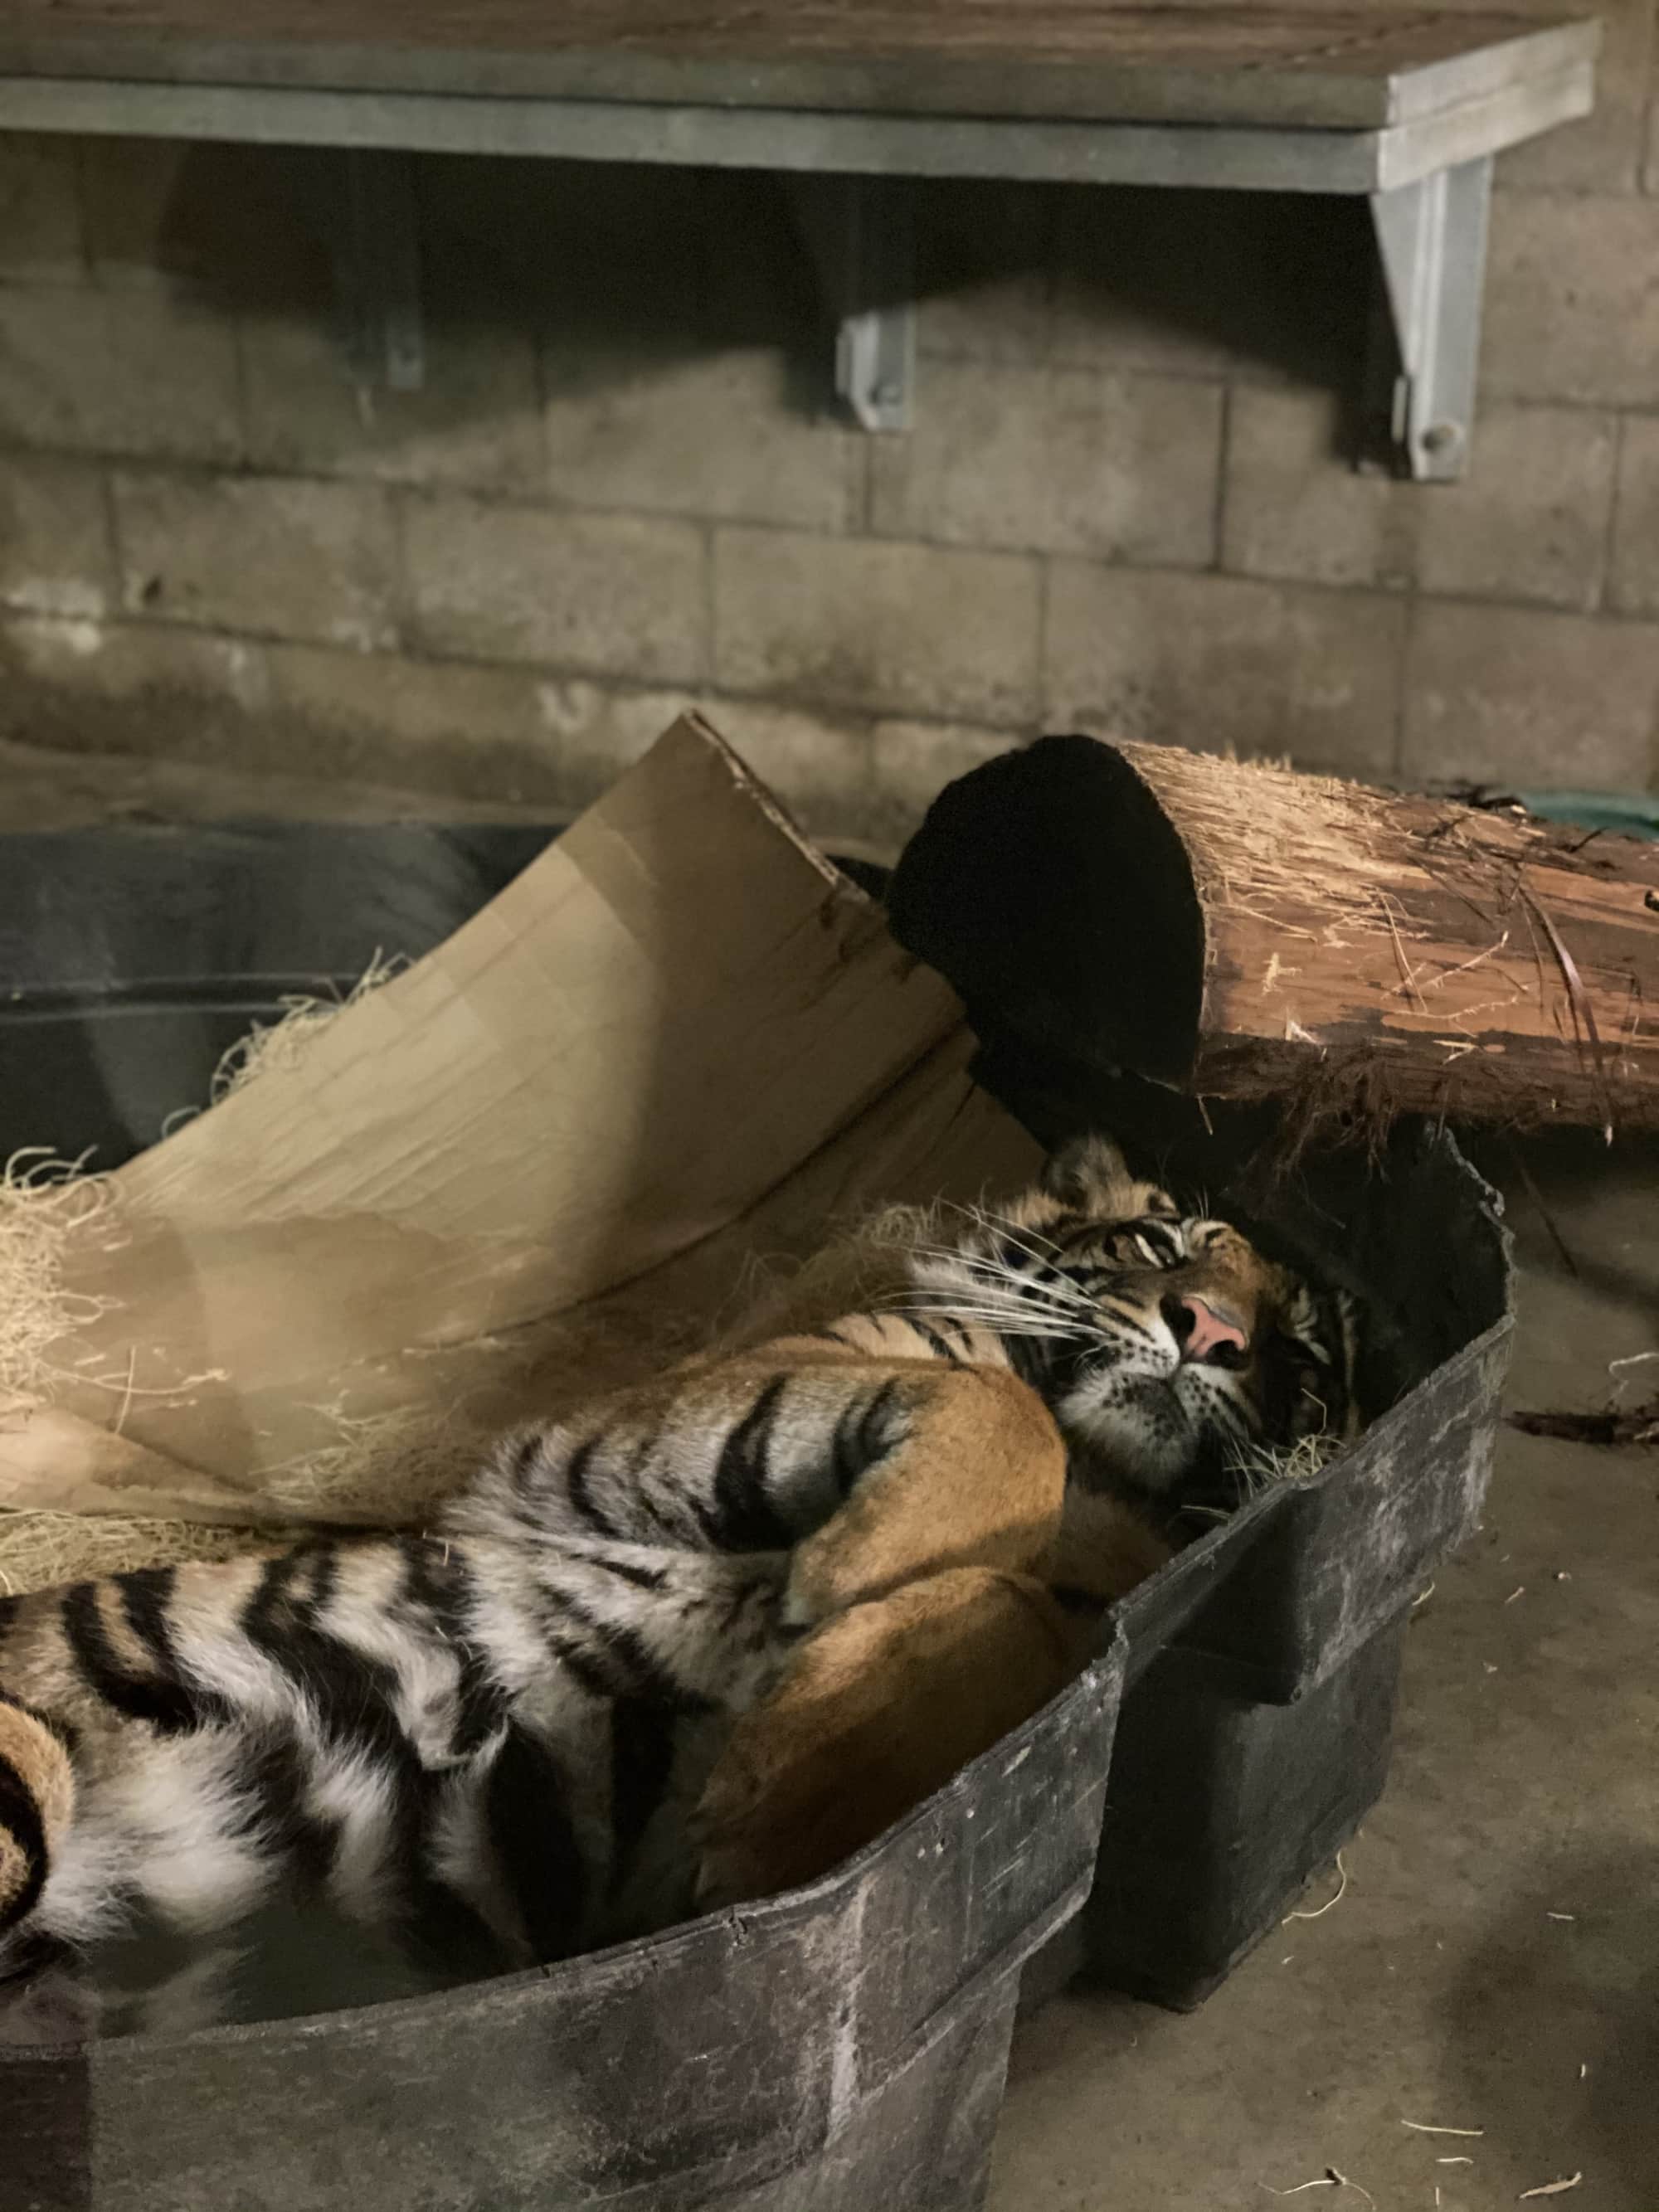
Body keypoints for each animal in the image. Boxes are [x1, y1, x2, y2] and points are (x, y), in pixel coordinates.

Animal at [0, 1141, 1362, 2035]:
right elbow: (995, 1403)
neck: (1103, 1480)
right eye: (1161, 1244)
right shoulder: (611, 1444)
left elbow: (1033, 1618)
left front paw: (786, 1793)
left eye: (1292, 1350)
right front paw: (850, 1582)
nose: (1212, 1333)